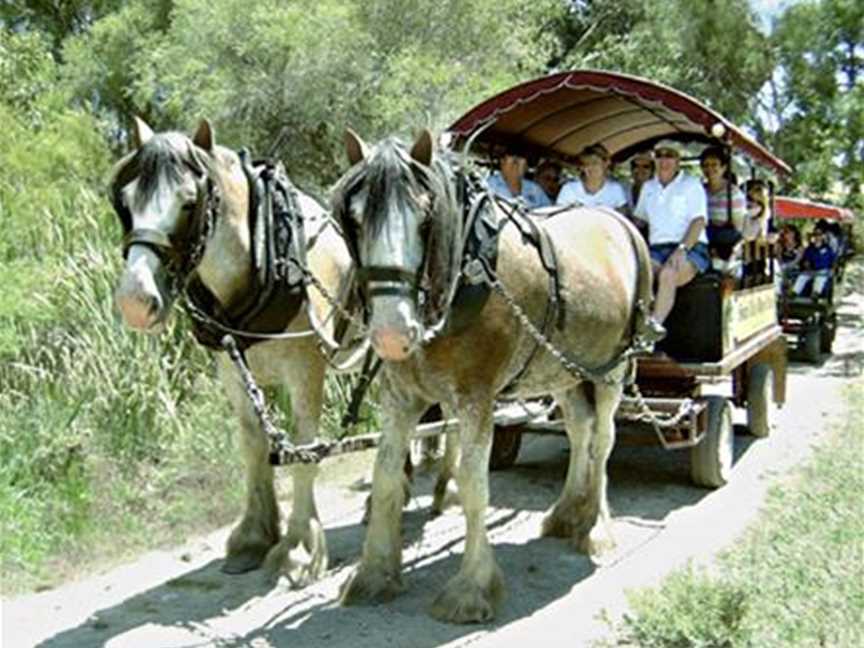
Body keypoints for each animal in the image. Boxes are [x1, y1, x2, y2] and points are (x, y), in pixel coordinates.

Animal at [111, 117, 358, 588]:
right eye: (125, 203)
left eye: (189, 203)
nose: (135, 301)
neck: (267, 255)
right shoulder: (232, 370)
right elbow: (253, 446)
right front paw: (253, 538)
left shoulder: (306, 371)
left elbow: (304, 449)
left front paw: (300, 548)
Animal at [330, 130, 656, 624]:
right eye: (353, 217)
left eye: (425, 216)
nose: (391, 332)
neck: (466, 270)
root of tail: (619, 221)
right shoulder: (401, 396)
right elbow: (385, 475)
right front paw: (375, 573)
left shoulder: (476, 396)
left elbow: (472, 483)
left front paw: (472, 588)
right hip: (563, 368)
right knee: (579, 430)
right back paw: (567, 513)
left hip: (612, 369)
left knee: (602, 442)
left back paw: (595, 526)